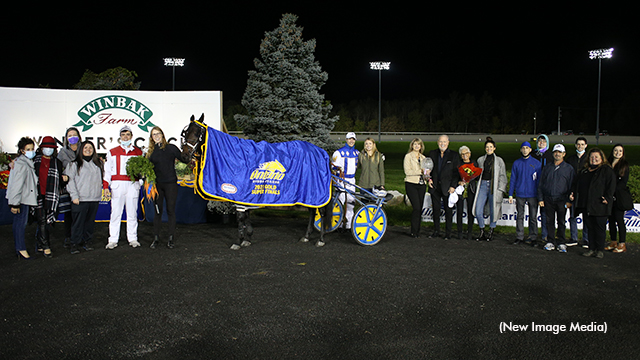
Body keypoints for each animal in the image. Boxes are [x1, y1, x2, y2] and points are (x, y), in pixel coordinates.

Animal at [178, 114, 332, 249]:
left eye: (198, 132)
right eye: (185, 133)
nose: (184, 156)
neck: (234, 156)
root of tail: (321, 152)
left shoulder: (239, 194)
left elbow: (241, 218)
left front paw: (238, 242)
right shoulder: (244, 196)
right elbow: (246, 217)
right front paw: (247, 239)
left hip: (318, 192)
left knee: (321, 212)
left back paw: (321, 240)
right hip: (309, 193)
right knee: (312, 211)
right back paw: (306, 236)